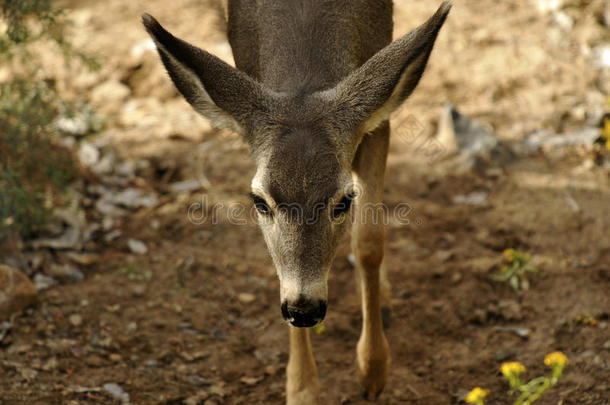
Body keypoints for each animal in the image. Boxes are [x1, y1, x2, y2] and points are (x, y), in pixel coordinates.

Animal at [141, 1, 446, 402]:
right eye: (259, 201)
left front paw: (373, 369)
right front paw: (302, 388)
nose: (304, 309)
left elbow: (369, 241)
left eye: (343, 201)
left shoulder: (376, 123)